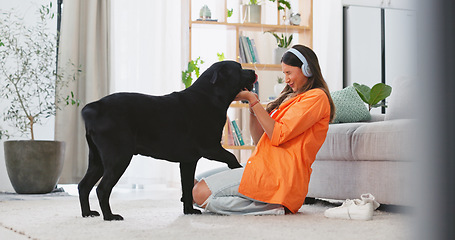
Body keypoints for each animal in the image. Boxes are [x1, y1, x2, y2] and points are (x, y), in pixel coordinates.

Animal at [77, 61, 256, 220]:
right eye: (239, 68)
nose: (253, 71)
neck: (210, 96)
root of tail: (93, 107)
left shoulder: (188, 161)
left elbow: (187, 187)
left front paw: (189, 211)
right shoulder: (210, 147)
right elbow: (231, 157)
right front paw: (238, 170)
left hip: (97, 160)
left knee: (83, 186)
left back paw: (87, 213)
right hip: (118, 157)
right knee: (102, 188)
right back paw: (110, 216)